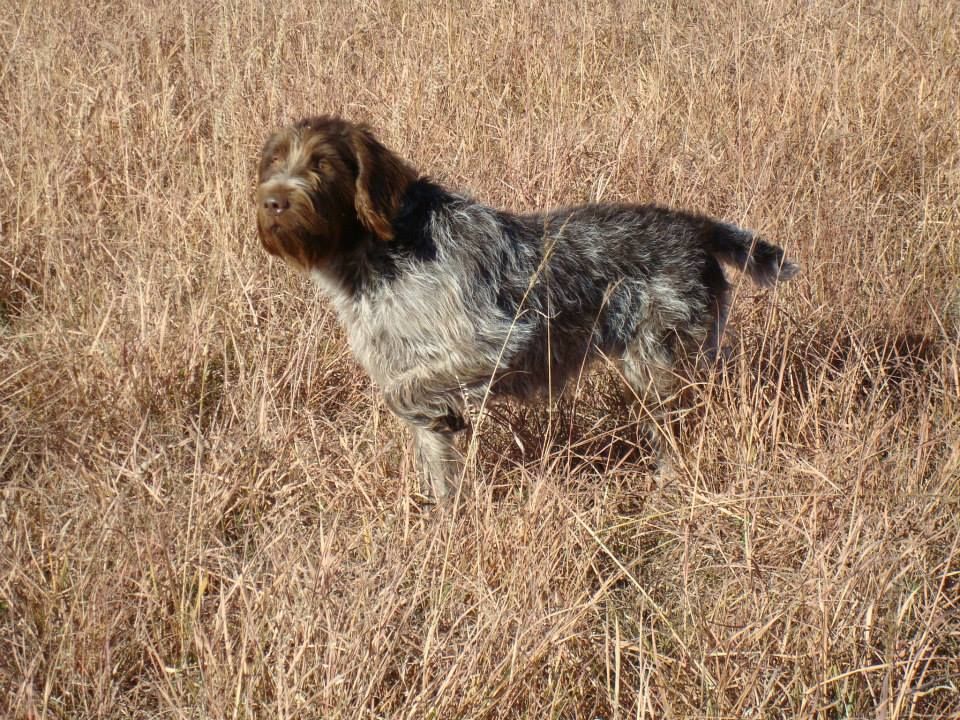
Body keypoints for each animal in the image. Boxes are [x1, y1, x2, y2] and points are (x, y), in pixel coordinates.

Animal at [253, 118, 796, 500]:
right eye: (274, 160)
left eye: (324, 164)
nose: (273, 202)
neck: (377, 252)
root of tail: (696, 228)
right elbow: (433, 452)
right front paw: (446, 515)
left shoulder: (495, 341)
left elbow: (402, 395)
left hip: (658, 363)